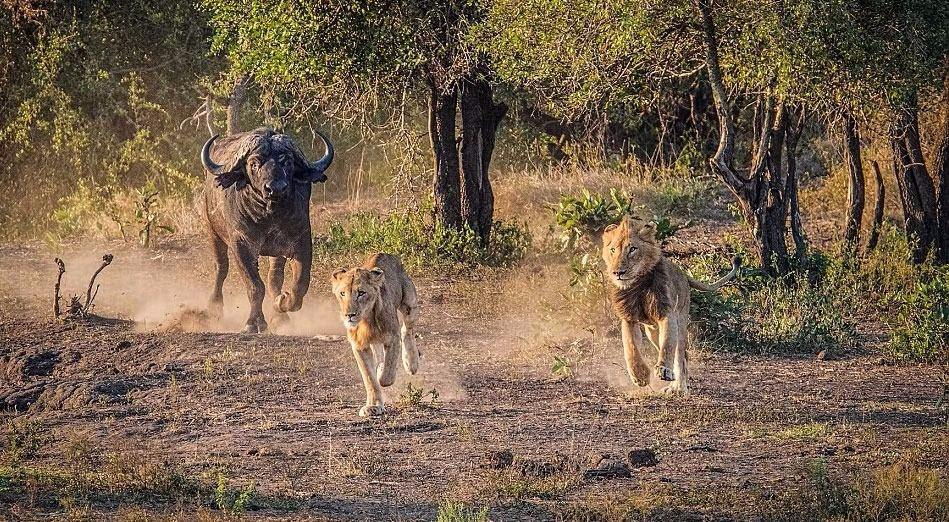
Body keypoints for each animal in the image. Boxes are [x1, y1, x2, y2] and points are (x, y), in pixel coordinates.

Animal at [200, 126, 334, 332]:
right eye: (254, 163)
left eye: (287, 162)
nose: (276, 188)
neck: (269, 216)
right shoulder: (241, 245)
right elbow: (255, 286)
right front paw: (253, 323)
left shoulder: (301, 241)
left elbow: (300, 283)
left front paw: (282, 301)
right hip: (212, 231)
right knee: (221, 267)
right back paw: (214, 308)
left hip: (276, 252)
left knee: (274, 277)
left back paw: (280, 317)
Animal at [334, 252, 422, 414]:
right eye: (342, 293)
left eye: (361, 293)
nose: (349, 315)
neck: (366, 321)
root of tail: (384, 253)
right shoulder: (359, 346)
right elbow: (369, 378)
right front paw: (373, 406)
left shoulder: (392, 338)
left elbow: (386, 375)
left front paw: (382, 372)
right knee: (379, 351)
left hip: (409, 304)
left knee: (407, 329)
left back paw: (411, 363)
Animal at [600, 213, 740, 392]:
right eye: (612, 250)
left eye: (632, 249)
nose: (618, 272)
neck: (638, 284)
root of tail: (684, 275)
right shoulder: (629, 316)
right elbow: (630, 347)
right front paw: (640, 376)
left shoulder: (667, 312)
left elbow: (667, 345)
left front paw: (663, 370)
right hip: (652, 331)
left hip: (681, 320)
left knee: (681, 355)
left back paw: (679, 387)